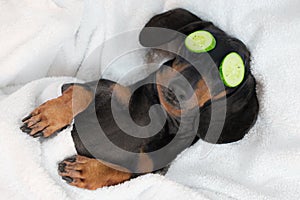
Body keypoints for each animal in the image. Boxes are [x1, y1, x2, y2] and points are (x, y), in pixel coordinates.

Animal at [19, 9, 258, 191]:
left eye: (223, 78)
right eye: (195, 45)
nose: (177, 88)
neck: (161, 114)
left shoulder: (153, 167)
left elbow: (126, 171)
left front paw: (87, 172)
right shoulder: (104, 87)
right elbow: (81, 92)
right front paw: (48, 116)